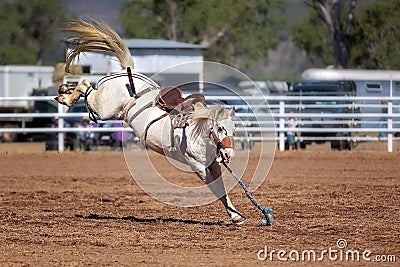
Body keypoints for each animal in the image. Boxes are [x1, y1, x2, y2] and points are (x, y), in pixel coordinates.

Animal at [54, 18, 245, 224]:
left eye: (234, 131)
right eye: (220, 128)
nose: (229, 154)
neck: (197, 133)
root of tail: (126, 74)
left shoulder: (213, 165)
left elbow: (222, 187)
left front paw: (235, 214)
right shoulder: (198, 167)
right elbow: (216, 189)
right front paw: (235, 215)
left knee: (85, 86)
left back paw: (65, 89)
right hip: (104, 108)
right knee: (85, 86)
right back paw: (66, 97)